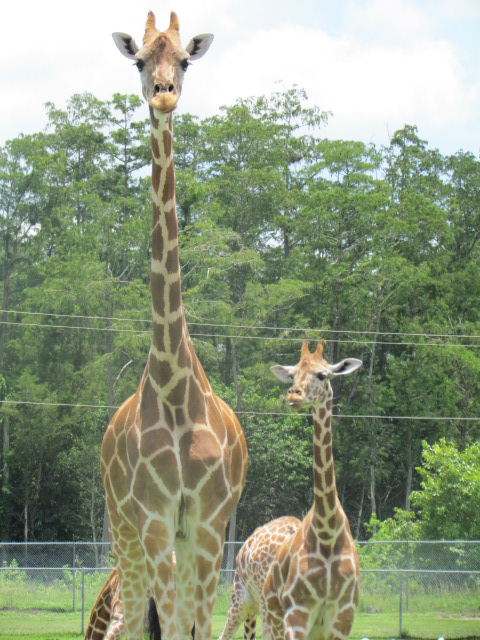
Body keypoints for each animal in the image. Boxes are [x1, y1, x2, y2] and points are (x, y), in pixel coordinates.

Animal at [260, 342, 362, 640]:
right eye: (292, 375)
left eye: (322, 375)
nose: (294, 395)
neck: (327, 533)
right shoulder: (297, 612)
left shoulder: (342, 617)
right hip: (272, 618)